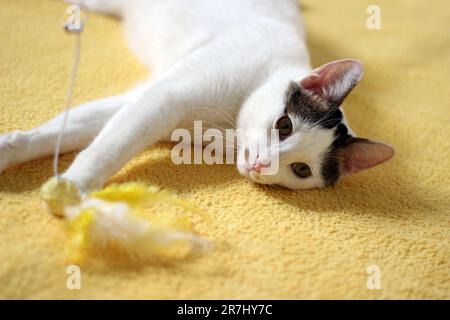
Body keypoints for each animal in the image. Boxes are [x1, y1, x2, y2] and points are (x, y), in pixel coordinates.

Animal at [0, 0, 394, 192]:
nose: (262, 164)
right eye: (284, 126)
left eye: (301, 170)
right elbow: (109, 147)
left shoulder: (143, 98)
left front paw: (12, 150)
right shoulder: (165, 97)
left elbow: (75, 128)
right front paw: (74, 187)